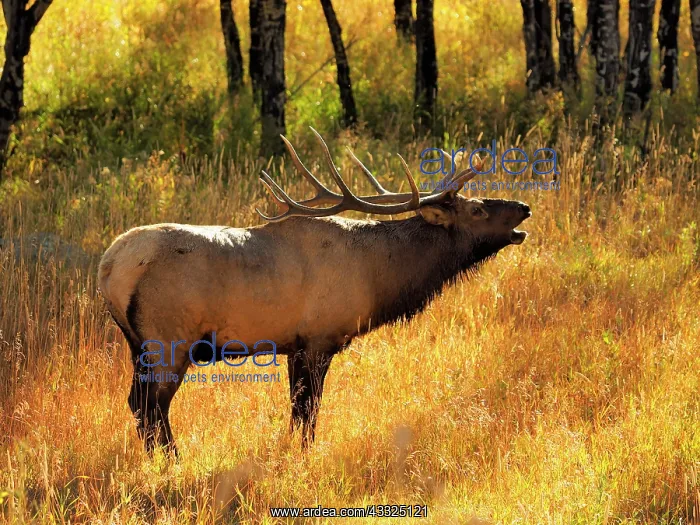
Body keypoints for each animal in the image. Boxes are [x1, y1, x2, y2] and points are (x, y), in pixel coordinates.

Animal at [97, 129, 531, 456]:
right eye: (477, 210)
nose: (524, 207)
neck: (378, 278)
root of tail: (108, 268)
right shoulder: (321, 338)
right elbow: (310, 412)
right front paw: (305, 456)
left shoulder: (294, 345)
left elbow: (295, 411)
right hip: (169, 339)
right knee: (152, 407)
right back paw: (174, 460)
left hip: (137, 345)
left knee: (137, 404)